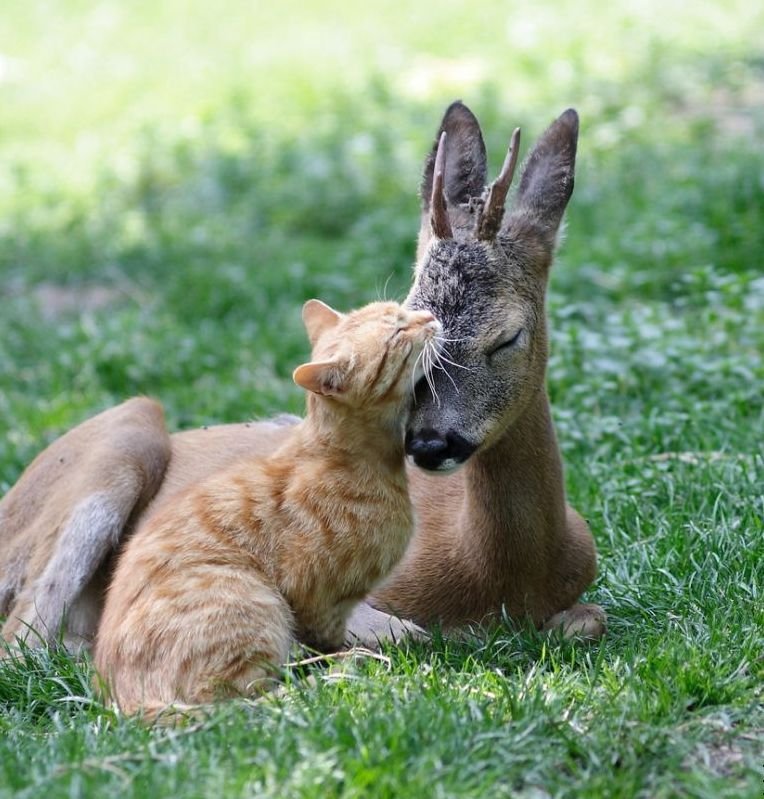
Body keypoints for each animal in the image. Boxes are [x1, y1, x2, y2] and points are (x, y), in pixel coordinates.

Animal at [0, 101, 604, 648]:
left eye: (507, 338)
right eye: (411, 320)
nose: (430, 442)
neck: (498, 575)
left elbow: (588, 621)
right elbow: (399, 632)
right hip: (123, 438)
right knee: (25, 639)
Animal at [94, 300, 442, 720]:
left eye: (400, 310)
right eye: (397, 333)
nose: (431, 317)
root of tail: (123, 703)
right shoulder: (315, 598)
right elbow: (326, 637)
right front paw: (348, 656)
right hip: (252, 599)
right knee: (243, 701)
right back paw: (336, 674)